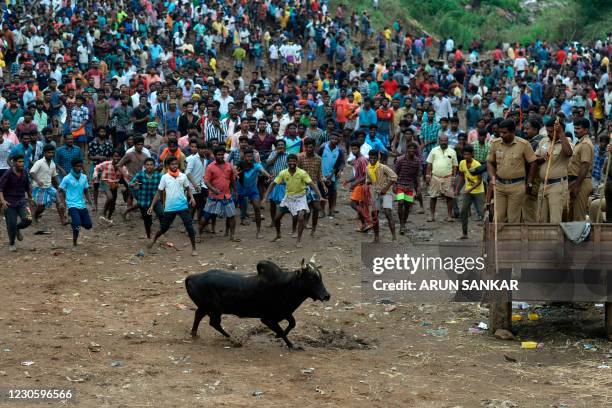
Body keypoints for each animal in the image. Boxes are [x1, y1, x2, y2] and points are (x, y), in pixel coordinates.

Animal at [185, 258, 330, 348]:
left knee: (199, 315)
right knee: (213, 323)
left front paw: (279, 337)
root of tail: (192, 277)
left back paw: (194, 333)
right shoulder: (267, 319)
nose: (327, 295)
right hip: (215, 310)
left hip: (206, 308)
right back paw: (233, 339)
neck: (286, 285)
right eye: (312, 278)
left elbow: (292, 323)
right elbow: (282, 330)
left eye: (320, 276)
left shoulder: (285, 313)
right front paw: (290, 344)